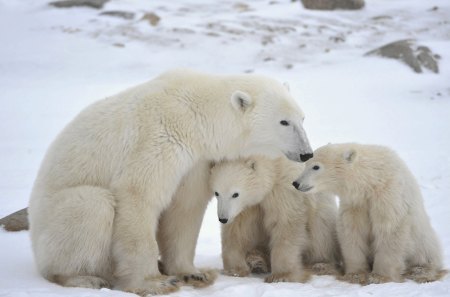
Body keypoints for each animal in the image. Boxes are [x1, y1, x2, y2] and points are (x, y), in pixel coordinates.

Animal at [26, 69, 312, 294]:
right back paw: (83, 277)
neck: (195, 114)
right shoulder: (158, 138)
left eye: (302, 118)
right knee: (91, 205)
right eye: (284, 121)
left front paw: (194, 273)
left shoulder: (196, 160)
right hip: (53, 222)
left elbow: (184, 208)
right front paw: (154, 282)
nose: (306, 153)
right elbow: (139, 196)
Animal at [209, 155, 340, 282]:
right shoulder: (245, 208)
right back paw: (256, 261)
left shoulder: (284, 189)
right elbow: (237, 230)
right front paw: (234, 270)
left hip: (322, 218)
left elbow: (285, 224)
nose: (223, 218)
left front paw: (281, 276)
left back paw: (320, 265)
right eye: (217, 193)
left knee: (320, 235)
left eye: (235, 194)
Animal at [294, 142, 444, 284]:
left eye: (316, 167)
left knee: (426, 253)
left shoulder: (388, 194)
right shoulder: (356, 203)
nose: (296, 183)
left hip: (422, 237)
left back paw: (421, 272)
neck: (372, 180)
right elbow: (352, 230)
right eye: (305, 164)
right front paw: (355, 275)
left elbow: (389, 229)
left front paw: (379, 277)